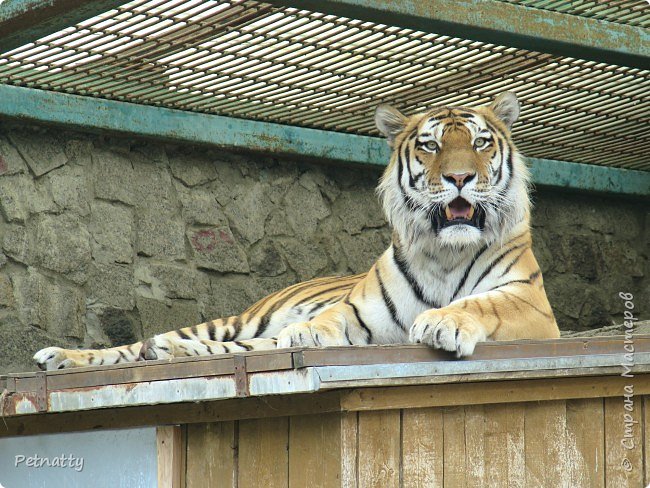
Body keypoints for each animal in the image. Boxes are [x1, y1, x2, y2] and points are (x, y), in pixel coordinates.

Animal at [33, 91, 556, 372]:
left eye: (481, 143)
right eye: (429, 146)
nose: (459, 177)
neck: (446, 253)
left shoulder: (531, 306)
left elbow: (481, 303)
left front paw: (444, 321)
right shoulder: (360, 312)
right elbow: (331, 317)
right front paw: (307, 332)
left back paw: (164, 350)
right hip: (238, 321)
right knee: (133, 346)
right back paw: (62, 356)